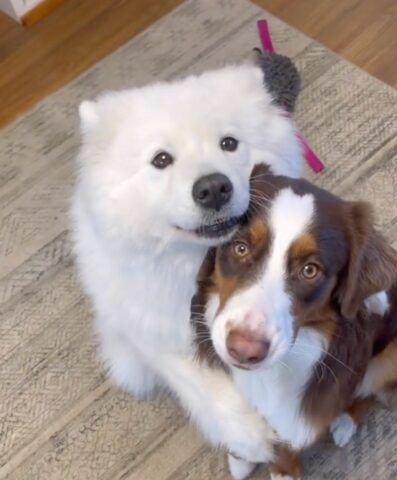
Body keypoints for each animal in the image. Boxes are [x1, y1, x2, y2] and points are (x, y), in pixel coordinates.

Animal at [71, 62, 302, 472]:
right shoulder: (152, 332)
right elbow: (205, 385)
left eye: (229, 143)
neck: (201, 260)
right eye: (161, 160)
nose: (213, 188)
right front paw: (251, 436)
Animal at [191, 165, 396, 480]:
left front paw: (283, 470)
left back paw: (344, 422)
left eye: (310, 270)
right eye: (240, 248)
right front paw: (241, 455)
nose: (243, 350)